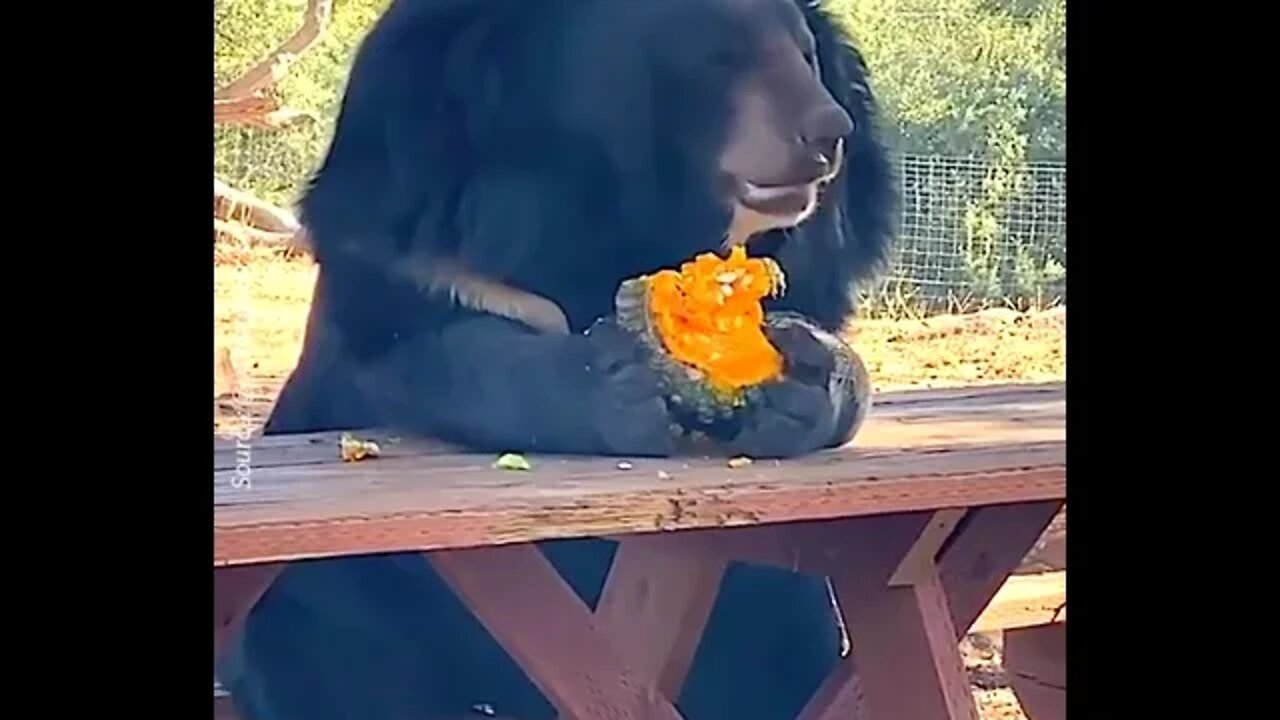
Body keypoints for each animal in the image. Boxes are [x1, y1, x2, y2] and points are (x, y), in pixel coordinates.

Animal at [218, 1, 900, 718]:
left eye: (806, 55)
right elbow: (436, 352)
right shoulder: (416, 243)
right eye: (720, 54)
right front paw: (618, 385)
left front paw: (799, 380)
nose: (829, 131)